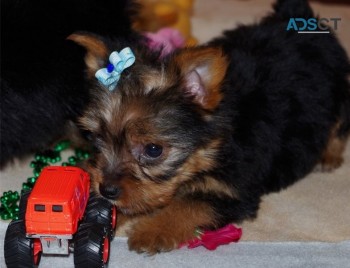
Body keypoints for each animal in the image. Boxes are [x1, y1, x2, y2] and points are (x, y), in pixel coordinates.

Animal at [71, 0, 350, 253]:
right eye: (96, 138)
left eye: (153, 150)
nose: (107, 189)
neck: (217, 140)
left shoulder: (234, 189)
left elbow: (191, 204)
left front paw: (152, 231)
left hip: (337, 86)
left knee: (339, 123)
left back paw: (329, 155)